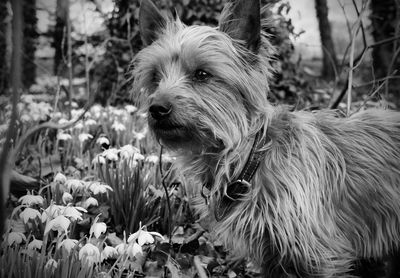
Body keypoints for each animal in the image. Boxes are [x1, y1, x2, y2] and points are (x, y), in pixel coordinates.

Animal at [133, 0, 400, 276]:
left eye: (202, 74)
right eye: (155, 76)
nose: (157, 108)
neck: (250, 158)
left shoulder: (319, 257)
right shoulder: (272, 256)